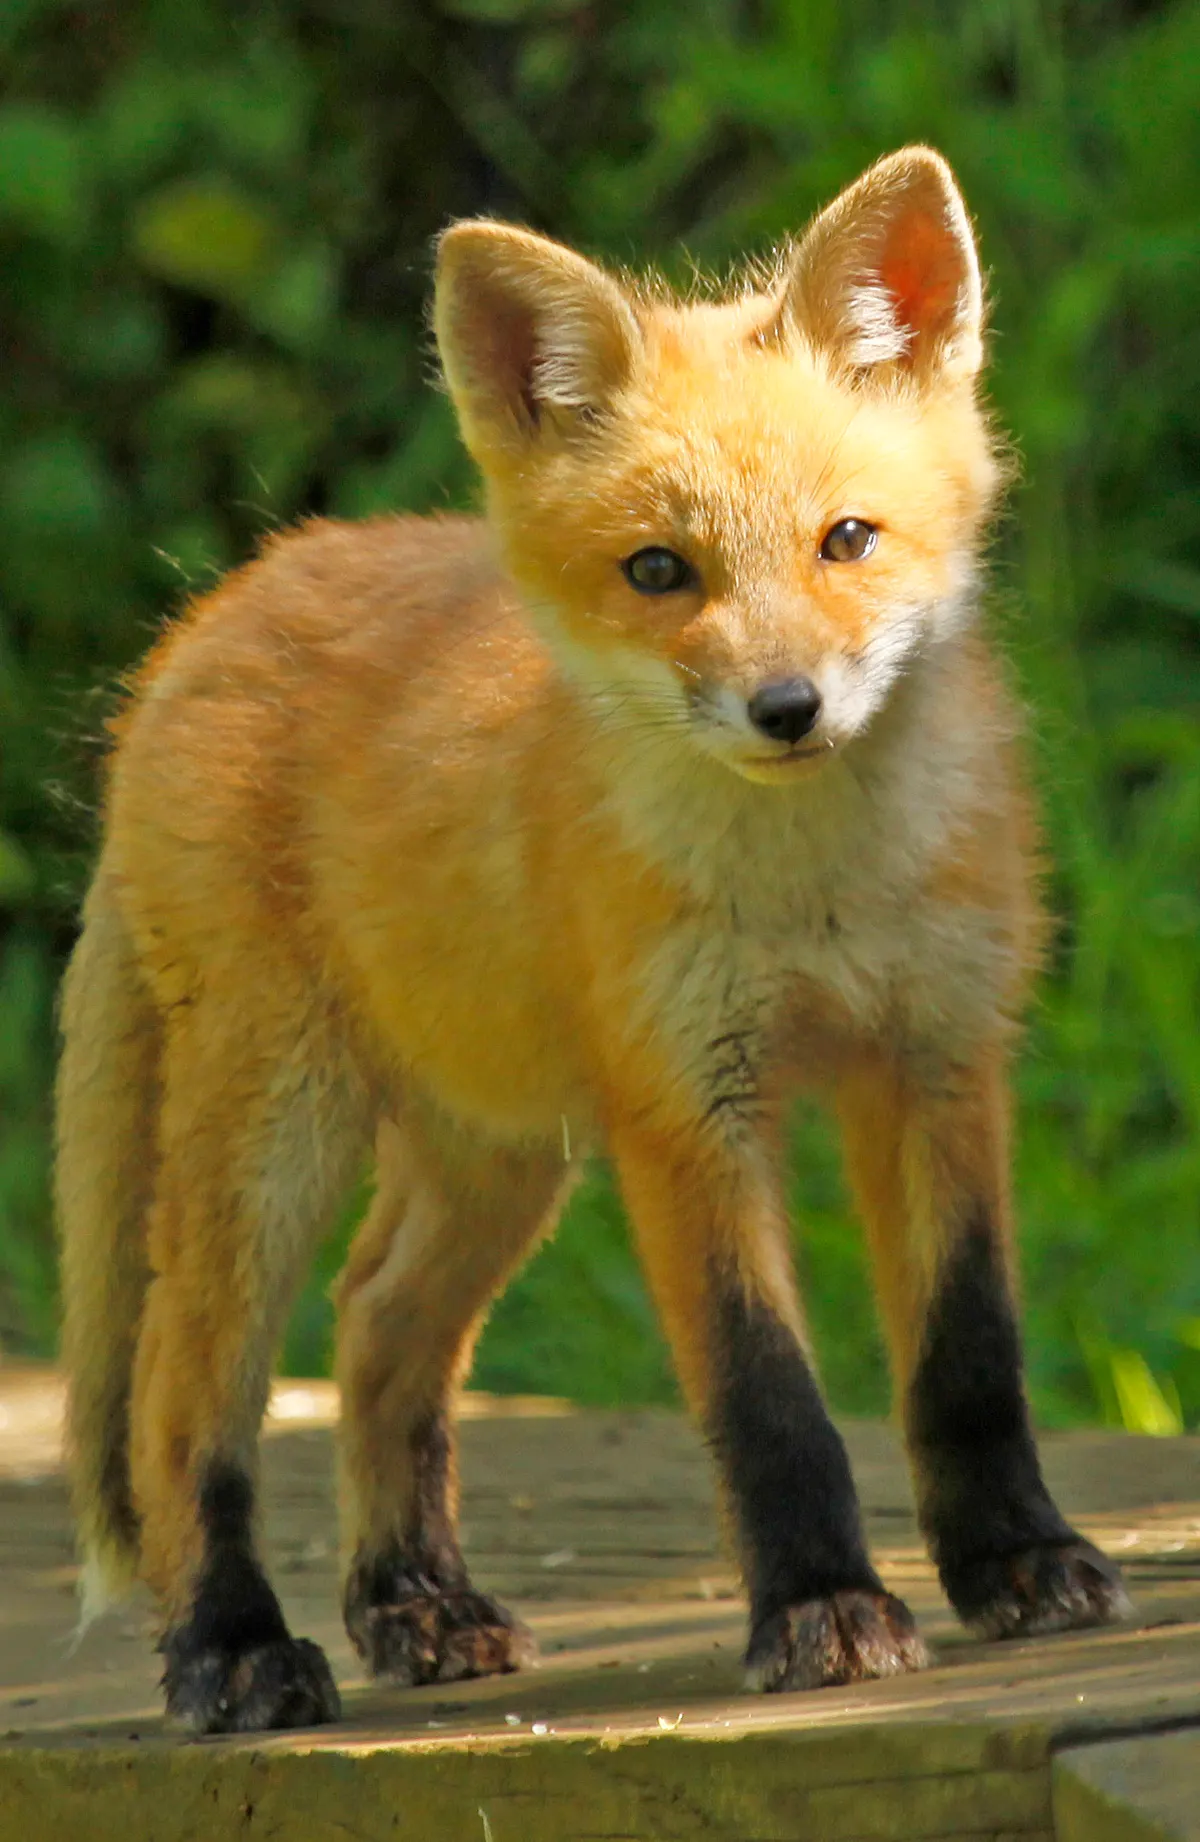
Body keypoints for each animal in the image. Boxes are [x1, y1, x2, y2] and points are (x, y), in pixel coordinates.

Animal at [55, 146, 1130, 1735]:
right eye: (659, 572)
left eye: (848, 540)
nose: (788, 708)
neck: (815, 894)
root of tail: (214, 613)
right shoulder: (685, 1101)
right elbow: (767, 1394)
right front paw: (823, 1606)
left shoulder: (938, 1057)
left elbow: (967, 1353)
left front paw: (1017, 1559)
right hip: (282, 1128)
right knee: (187, 1386)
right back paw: (234, 1645)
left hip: (496, 1149)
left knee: (376, 1325)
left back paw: (414, 1603)